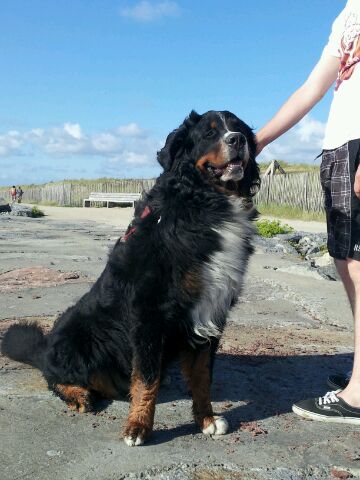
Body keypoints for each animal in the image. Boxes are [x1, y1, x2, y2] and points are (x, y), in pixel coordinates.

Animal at [2, 109, 258, 446]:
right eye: (209, 133)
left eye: (238, 128)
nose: (237, 140)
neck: (205, 203)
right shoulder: (149, 311)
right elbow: (146, 379)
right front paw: (138, 427)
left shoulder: (211, 312)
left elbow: (203, 377)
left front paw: (206, 419)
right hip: (75, 332)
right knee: (54, 375)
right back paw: (78, 395)